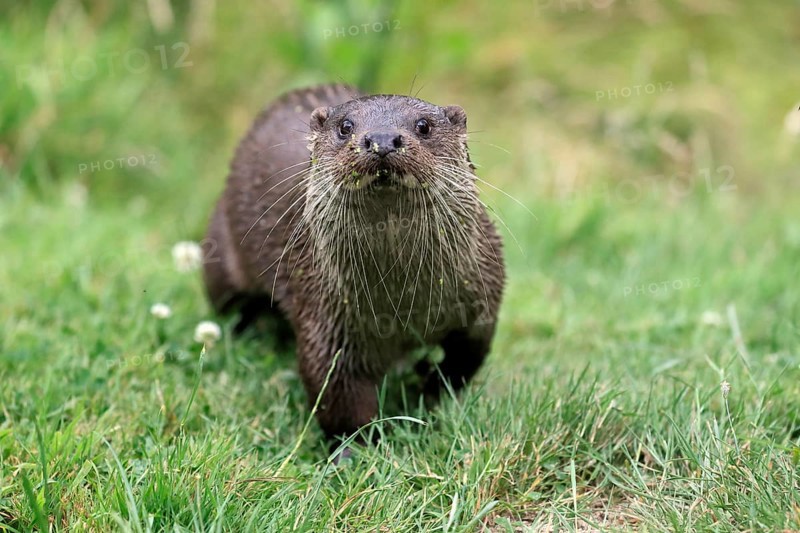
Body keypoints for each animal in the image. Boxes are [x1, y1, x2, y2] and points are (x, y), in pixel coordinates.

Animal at [203, 84, 504, 448]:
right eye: (346, 126)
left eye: (423, 125)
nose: (382, 139)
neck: (402, 307)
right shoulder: (325, 318)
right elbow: (337, 395)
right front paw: (353, 449)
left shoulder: (481, 303)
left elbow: (464, 361)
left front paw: (429, 394)